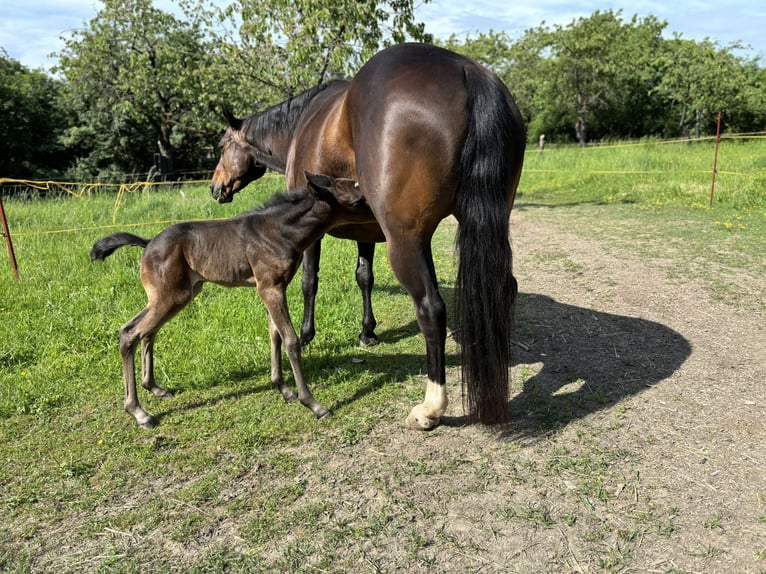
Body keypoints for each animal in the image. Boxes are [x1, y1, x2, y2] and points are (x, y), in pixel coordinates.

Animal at [91, 173, 374, 430]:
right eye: (356, 200)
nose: (377, 218)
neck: (280, 232)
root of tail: (148, 243)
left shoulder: (272, 288)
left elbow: (274, 335)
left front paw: (283, 389)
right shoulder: (270, 288)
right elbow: (291, 341)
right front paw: (313, 404)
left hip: (179, 295)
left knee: (148, 333)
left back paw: (154, 388)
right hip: (170, 297)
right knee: (130, 332)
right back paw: (139, 412)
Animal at [208, 42, 528, 430]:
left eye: (222, 145)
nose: (215, 188)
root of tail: (467, 71)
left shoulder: (313, 233)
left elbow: (310, 281)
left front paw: (307, 334)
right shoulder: (366, 232)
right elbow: (365, 277)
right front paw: (367, 332)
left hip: (405, 242)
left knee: (431, 308)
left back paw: (430, 407)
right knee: (502, 289)